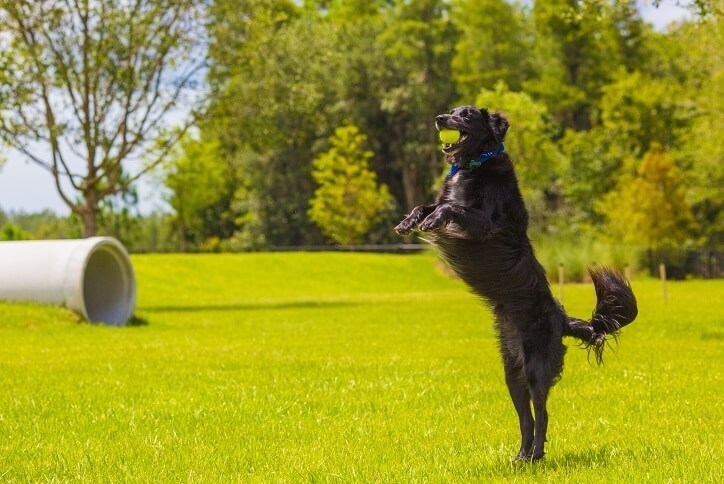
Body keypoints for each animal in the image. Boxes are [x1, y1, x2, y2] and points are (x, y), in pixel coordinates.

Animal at [394, 106, 636, 462]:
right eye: (451, 111)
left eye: (466, 115)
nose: (440, 118)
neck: (476, 163)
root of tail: (562, 318)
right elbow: (426, 204)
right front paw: (409, 221)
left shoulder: (485, 224)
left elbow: (450, 206)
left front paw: (431, 219)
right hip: (512, 372)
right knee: (527, 418)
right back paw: (522, 457)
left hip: (535, 368)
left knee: (543, 415)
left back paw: (536, 455)